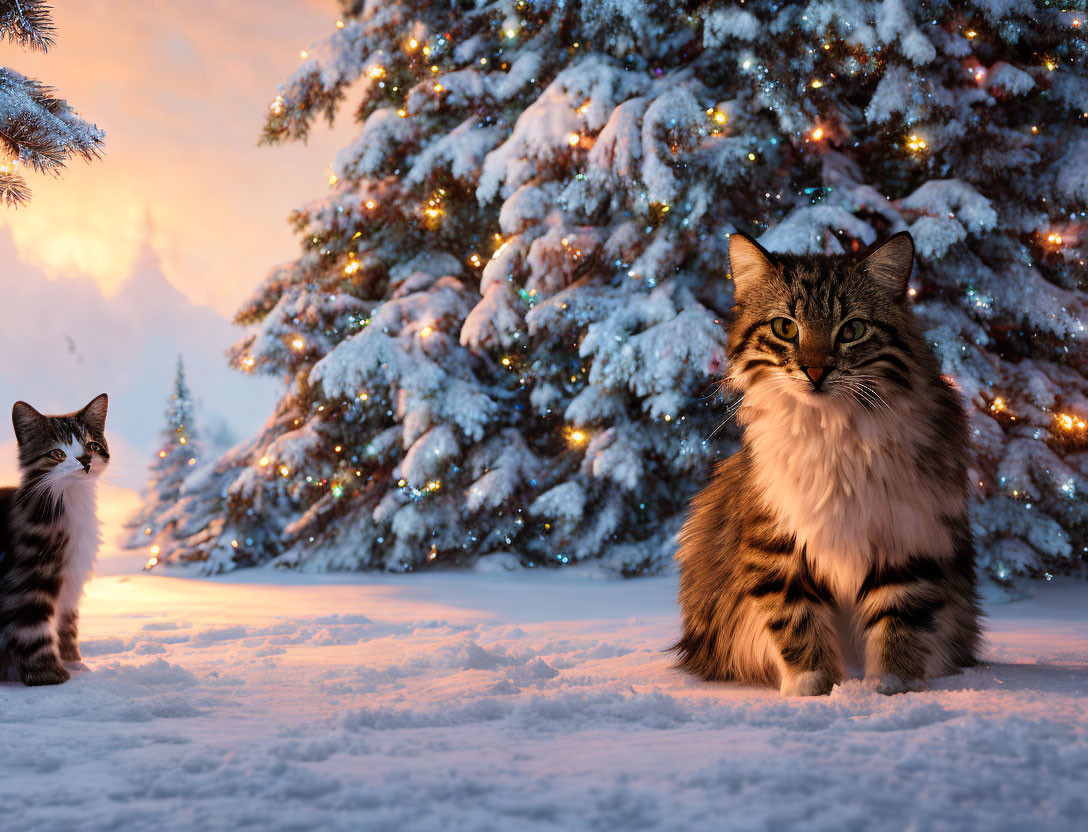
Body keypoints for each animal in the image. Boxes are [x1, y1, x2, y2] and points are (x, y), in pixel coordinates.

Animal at [0, 393, 109, 683]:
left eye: (92, 445)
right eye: (57, 454)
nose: (85, 460)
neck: (70, 500)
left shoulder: (72, 580)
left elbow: (66, 625)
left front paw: (74, 662)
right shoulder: (28, 576)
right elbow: (33, 629)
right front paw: (51, 676)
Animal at [674, 233, 983, 696]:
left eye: (851, 330)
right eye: (785, 327)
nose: (815, 372)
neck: (831, 430)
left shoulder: (908, 535)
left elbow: (898, 625)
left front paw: (892, 687)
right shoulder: (775, 541)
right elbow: (797, 623)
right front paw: (814, 689)